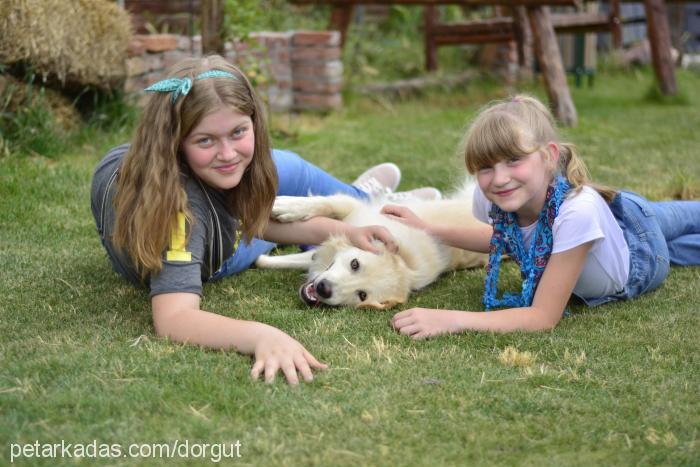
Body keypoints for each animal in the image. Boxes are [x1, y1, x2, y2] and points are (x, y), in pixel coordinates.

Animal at [254, 181, 490, 308]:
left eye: (362, 295)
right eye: (355, 264)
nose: (324, 289)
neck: (404, 259)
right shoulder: (358, 211)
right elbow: (328, 203)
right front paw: (287, 206)